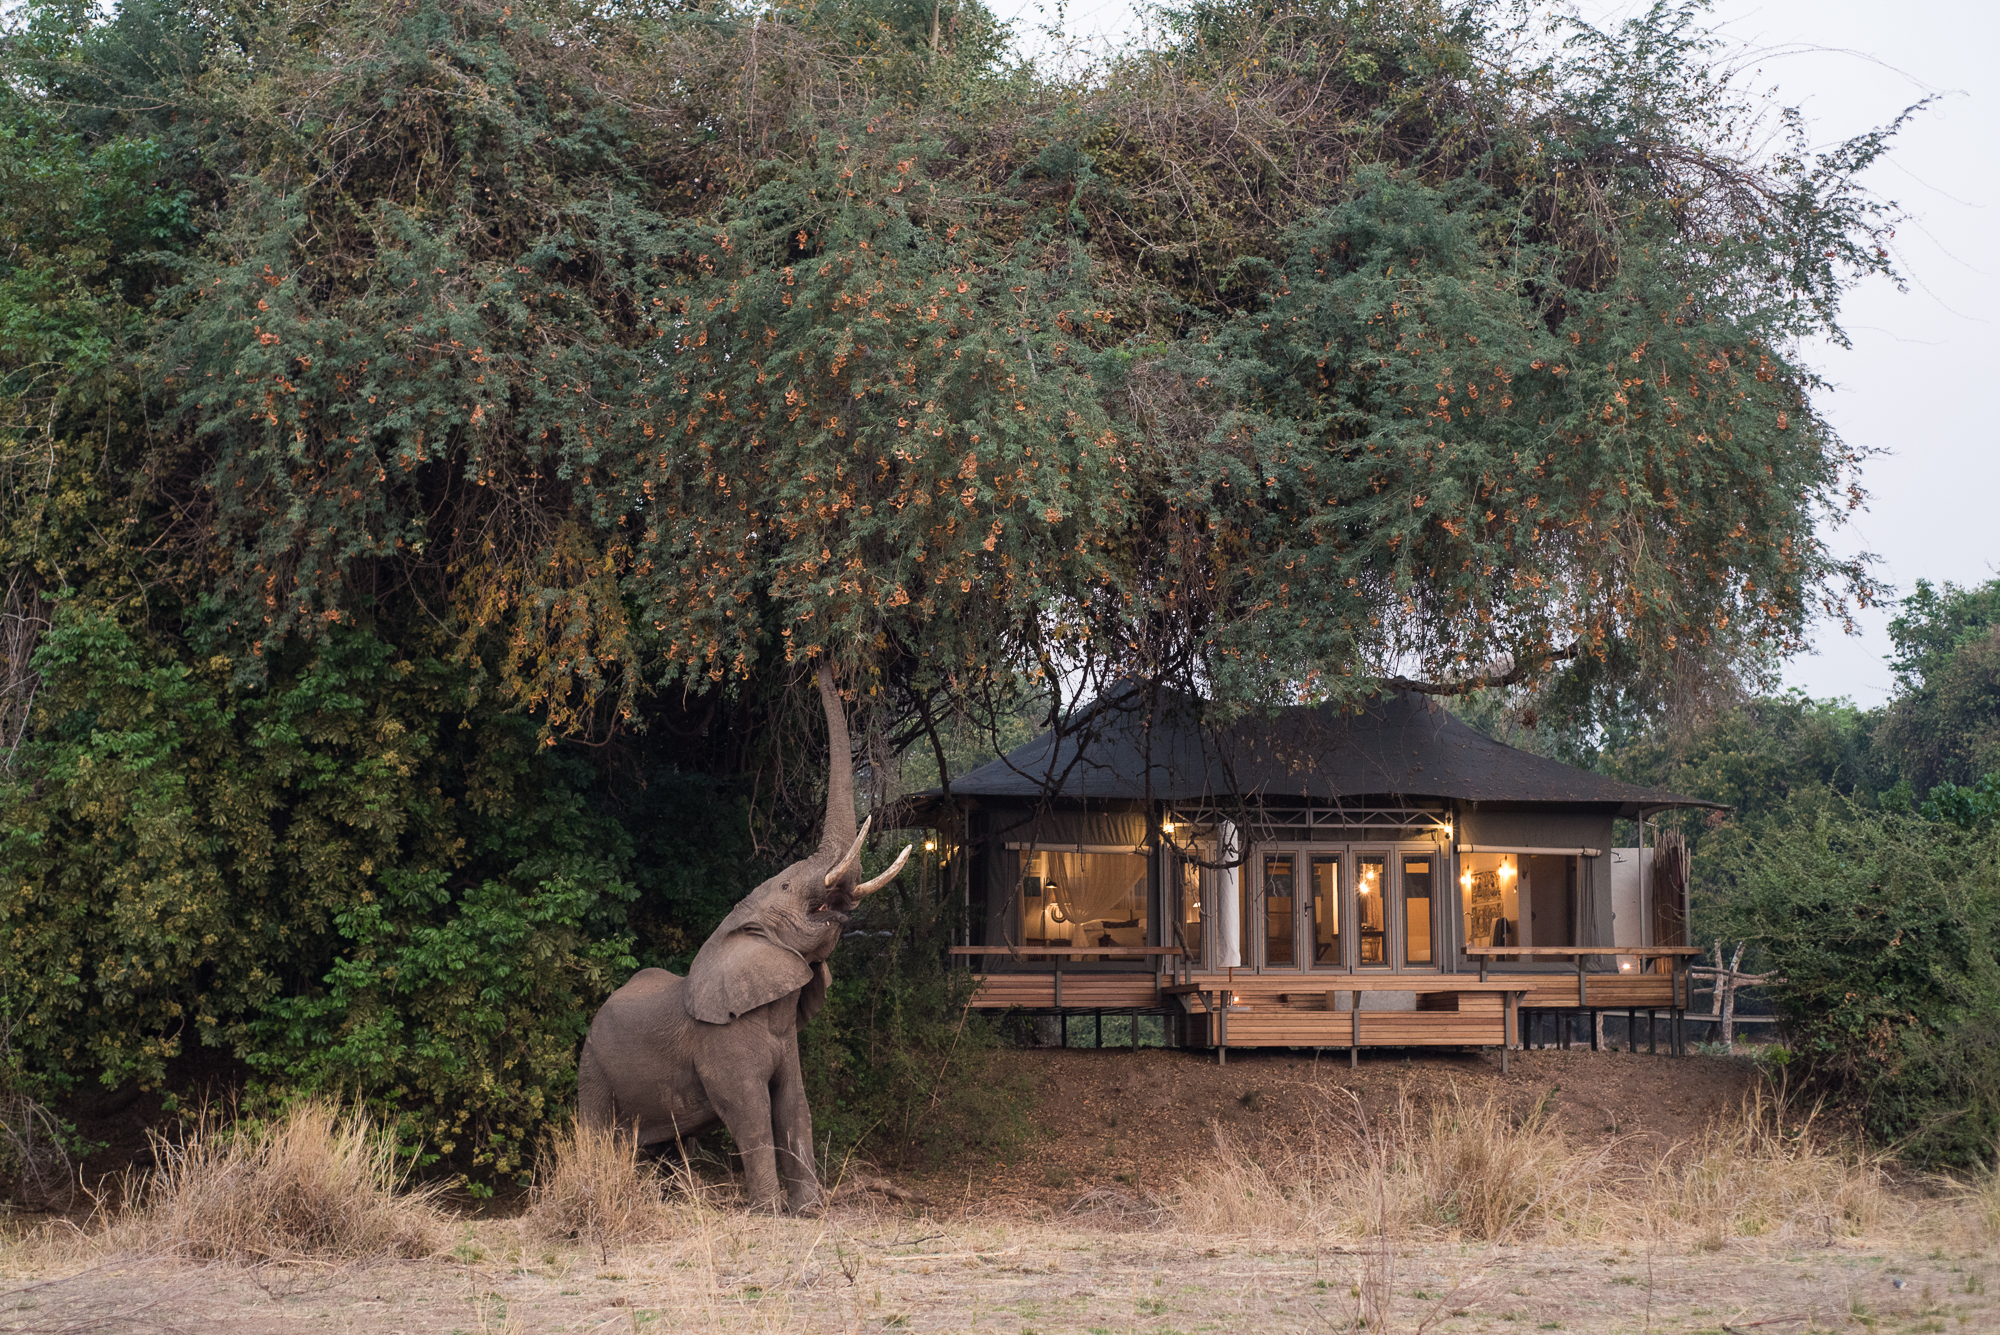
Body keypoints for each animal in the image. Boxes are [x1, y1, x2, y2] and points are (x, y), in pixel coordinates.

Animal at [577, 665, 911, 1213]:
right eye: (785, 887)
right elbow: (751, 1111)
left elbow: (795, 1105)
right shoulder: (721, 1041)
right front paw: (771, 1212)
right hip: (593, 1063)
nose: (817, 665)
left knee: (671, 1144)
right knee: (598, 1132)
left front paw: (809, 1211)